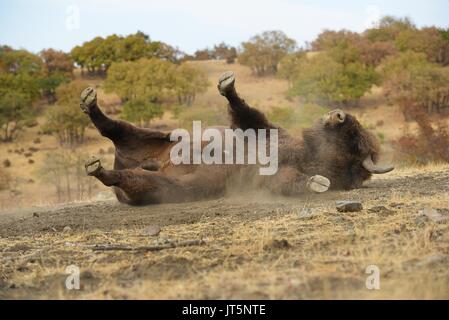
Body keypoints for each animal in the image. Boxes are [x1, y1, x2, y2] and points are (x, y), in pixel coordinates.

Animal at [80, 71, 392, 205]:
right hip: (160, 138)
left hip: (165, 187)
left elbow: (297, 183)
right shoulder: (263, 130)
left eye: (355, 139)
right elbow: (246, 113)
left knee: (135, 178)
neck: (305, 152)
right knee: (115, 129)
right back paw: (89, 102)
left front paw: (316, 182)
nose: (338, 114)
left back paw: (100, 168)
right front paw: (227, 85)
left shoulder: (271, 177)